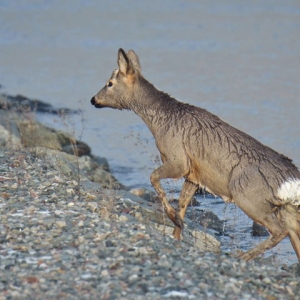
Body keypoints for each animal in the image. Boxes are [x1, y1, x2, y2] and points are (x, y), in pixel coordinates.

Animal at [91, 48, 300, 260]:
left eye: (110, 83)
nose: (93, 100)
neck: (160, 121)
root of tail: (291, 180)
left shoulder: (179, 160)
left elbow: (153, 178)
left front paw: (174, 220)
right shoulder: (194, 175)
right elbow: (183, 203)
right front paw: (177, 231)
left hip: (248, 196)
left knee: (279, 231)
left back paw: (241, 256)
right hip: (286, 209)